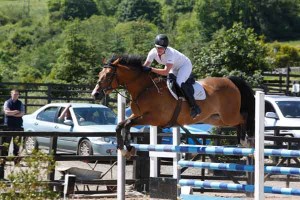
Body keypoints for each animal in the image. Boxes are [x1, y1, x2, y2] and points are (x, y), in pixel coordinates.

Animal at [92, 54, 255, 157]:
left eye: (108, 75)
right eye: (100, 74)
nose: (95, 94)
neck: (145, 88)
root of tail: (230, 81)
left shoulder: (153, 118)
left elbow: (127, 124)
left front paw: (128, 147)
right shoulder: (138, 115)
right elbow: (121, 125)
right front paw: (124, 148)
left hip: (229, 115)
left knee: (244, 117)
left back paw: (246, 140)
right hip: (215, 118)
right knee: (237, 122)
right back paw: (242, 141)